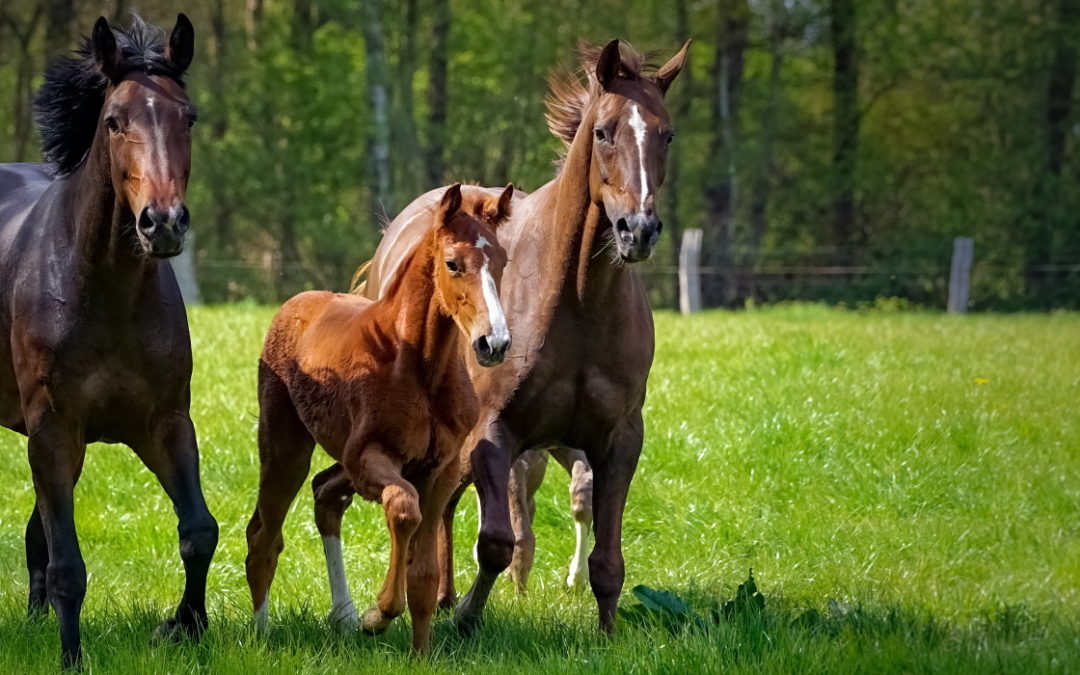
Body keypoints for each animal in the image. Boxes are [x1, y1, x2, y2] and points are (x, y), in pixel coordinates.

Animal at [0, 13, 216, 665]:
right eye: (115, 120)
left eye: (187, 117)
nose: (163, 223)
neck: (104, 292)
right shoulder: (53, 429)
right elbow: (68, 565)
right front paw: (70, 658)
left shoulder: (164, 423)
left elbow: (198, 531)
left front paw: (185, 627)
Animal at [245, 181, 514, 652]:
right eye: (453, 263)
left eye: (501, 261)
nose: (493, 343)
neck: (419, 365)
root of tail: (296, 303)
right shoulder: (368, 457)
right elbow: (403, 508)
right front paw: (379, 615)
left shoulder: (441, 469)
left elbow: (425, 573)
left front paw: (420, 653)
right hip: (284, 449)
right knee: (265, 537)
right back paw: (263, 636)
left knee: (322, 499)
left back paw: (342, 617)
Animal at [358, 40, 686, 630]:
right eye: (603, 131)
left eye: (666, 134)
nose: (639, 230)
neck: (576, 302)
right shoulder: (495, 434)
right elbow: (495, 541)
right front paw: (467, 619)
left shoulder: (619, 439)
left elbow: (608, 558)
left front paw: (607, 632)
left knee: (444, 505)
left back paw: (441, 594)